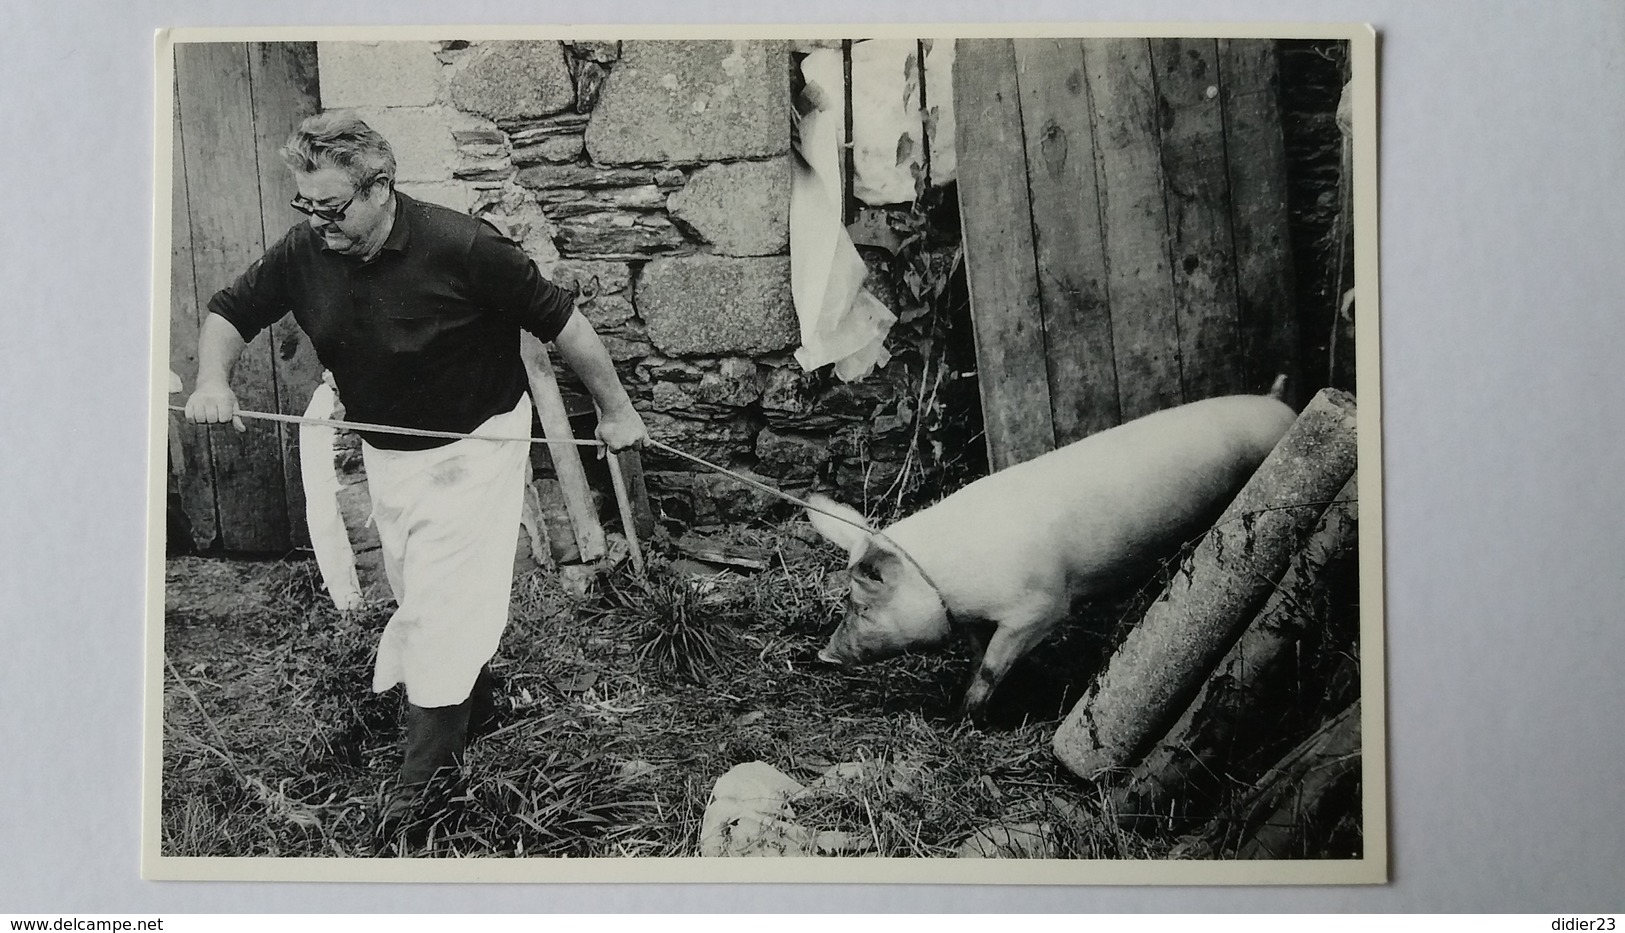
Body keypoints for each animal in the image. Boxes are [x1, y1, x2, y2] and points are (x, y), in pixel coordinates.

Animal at [802, 386, 1293, 724]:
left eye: (862, 606)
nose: (826, 655)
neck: (945, 584)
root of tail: (1280, 405)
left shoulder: (1040, 605)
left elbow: (992, 667)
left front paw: (964, 718)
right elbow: (979, 656)